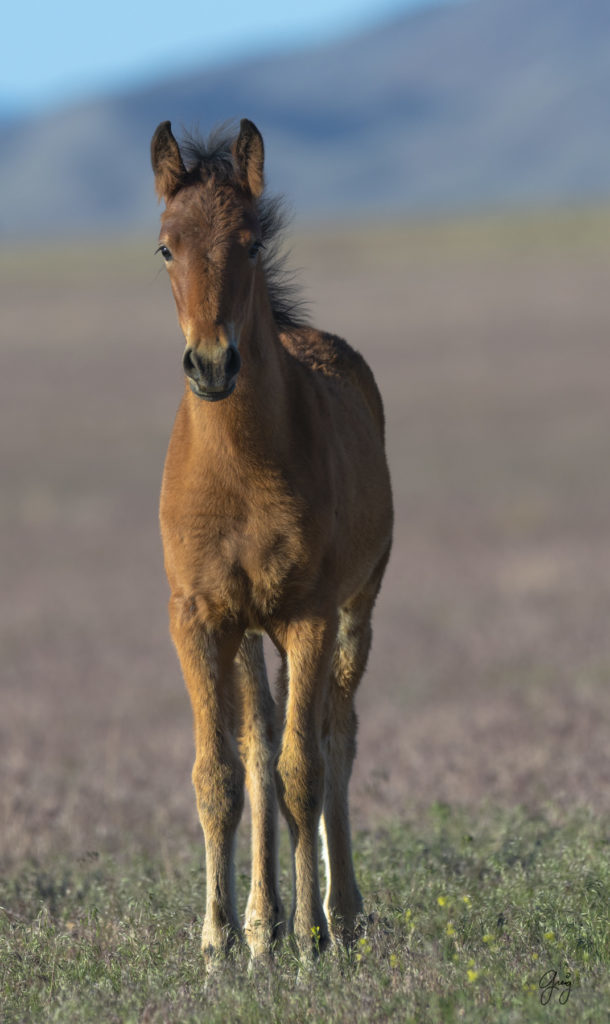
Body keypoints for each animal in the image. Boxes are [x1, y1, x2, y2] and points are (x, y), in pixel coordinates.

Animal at [150, 119, 393, 958]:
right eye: (165, 247)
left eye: (250, 243)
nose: (212, 364)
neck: (240, 470)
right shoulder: (199, 619)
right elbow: (220, 774)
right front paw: (222, 939)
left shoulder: (311, 616)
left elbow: (303, 770)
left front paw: (314, 940)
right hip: (252, 634)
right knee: (260, 743)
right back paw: (264, 922)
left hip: (354, 612)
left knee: (335, 737)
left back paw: (340, 912)